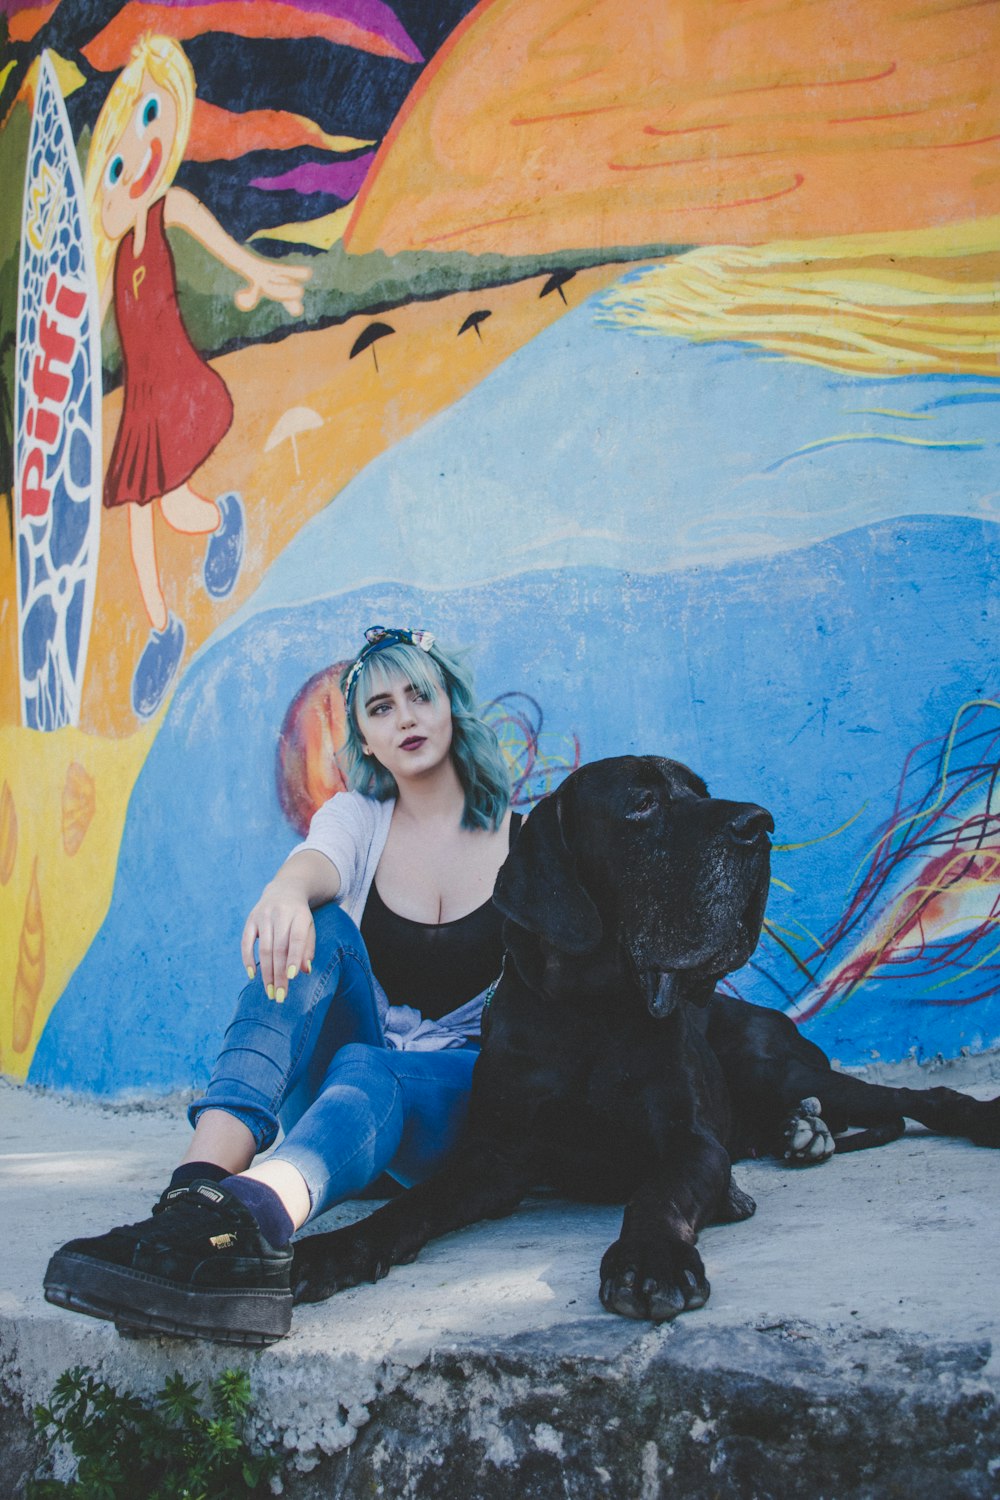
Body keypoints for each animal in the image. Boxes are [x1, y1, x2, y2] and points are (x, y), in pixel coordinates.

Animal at [290, 756, 1000, 1320]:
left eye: (701, 789)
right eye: (642, 803)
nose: (761, 824)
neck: (593, 1012)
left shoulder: (689, 1142)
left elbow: (658, 1195)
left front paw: (651, 1260)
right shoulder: (491, 1157)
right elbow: (414, 1204)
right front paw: (335, 1249)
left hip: (776, 1067)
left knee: (918, 1097)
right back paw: (798, 1134)